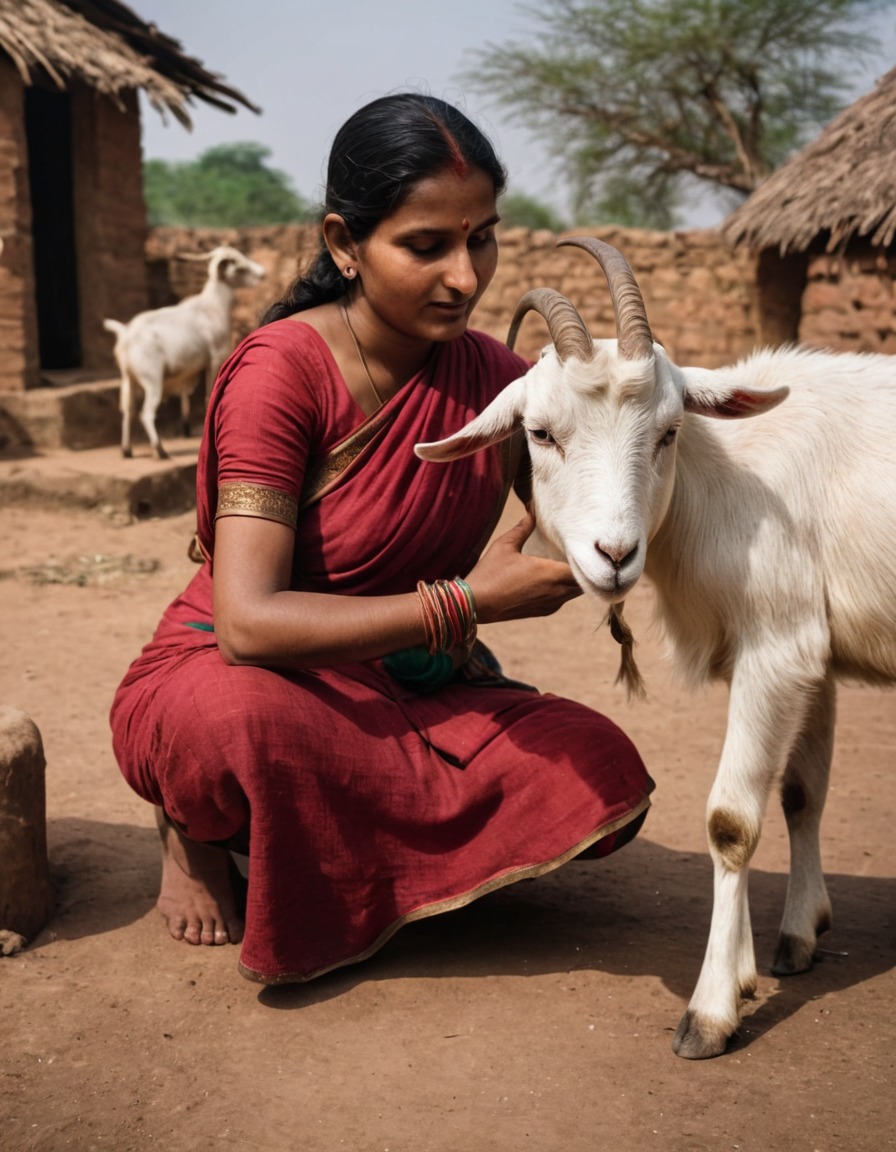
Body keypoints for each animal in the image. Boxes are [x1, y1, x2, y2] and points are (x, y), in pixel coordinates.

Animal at [104, 246, 263, 458]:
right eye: (238, 267)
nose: (263, 273)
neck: (212, 306)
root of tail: (125, 335)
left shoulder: (188, 371)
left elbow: (184, 396)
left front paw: (186, 428)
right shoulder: (214, 359)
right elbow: (207, 395)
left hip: (128, 380)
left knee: (127, 411)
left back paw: (127, 450)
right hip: (152, 380)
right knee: (146, 413)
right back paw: (160, 450)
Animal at [416, 236, 893, 1059]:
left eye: (668, 432)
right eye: (540, 434)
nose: (614, 554)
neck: (727, 474)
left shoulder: (779, 649)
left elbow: (732, 820)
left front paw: (710, 1013)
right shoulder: (808, 653)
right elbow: (801, 794)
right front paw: (786, 945)